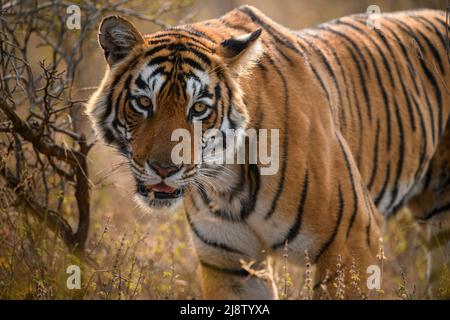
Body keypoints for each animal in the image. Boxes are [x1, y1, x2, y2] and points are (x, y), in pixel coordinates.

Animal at [86, 5, 448, 298]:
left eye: (199, 108)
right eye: (144, 102)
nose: (164, 169)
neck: (225, 181)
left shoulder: (353, 242)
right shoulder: (229, 262)